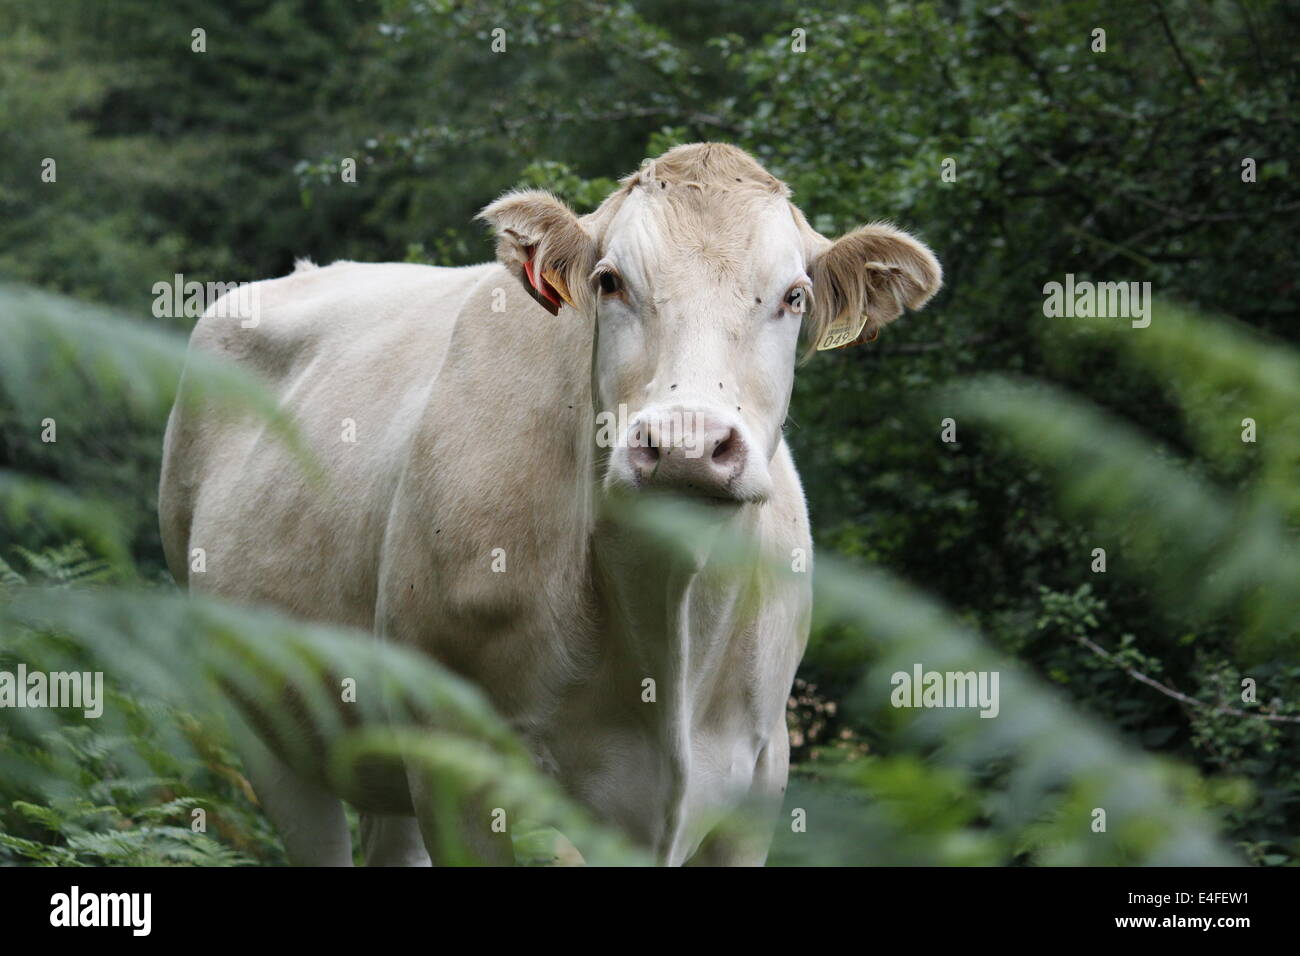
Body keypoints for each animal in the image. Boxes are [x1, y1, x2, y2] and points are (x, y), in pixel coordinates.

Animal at [157, 141, 941, 868]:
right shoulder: (458, 765)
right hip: (264, 721)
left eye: (794, 297)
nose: (686, 443)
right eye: (610, 281)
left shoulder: (757, 775)